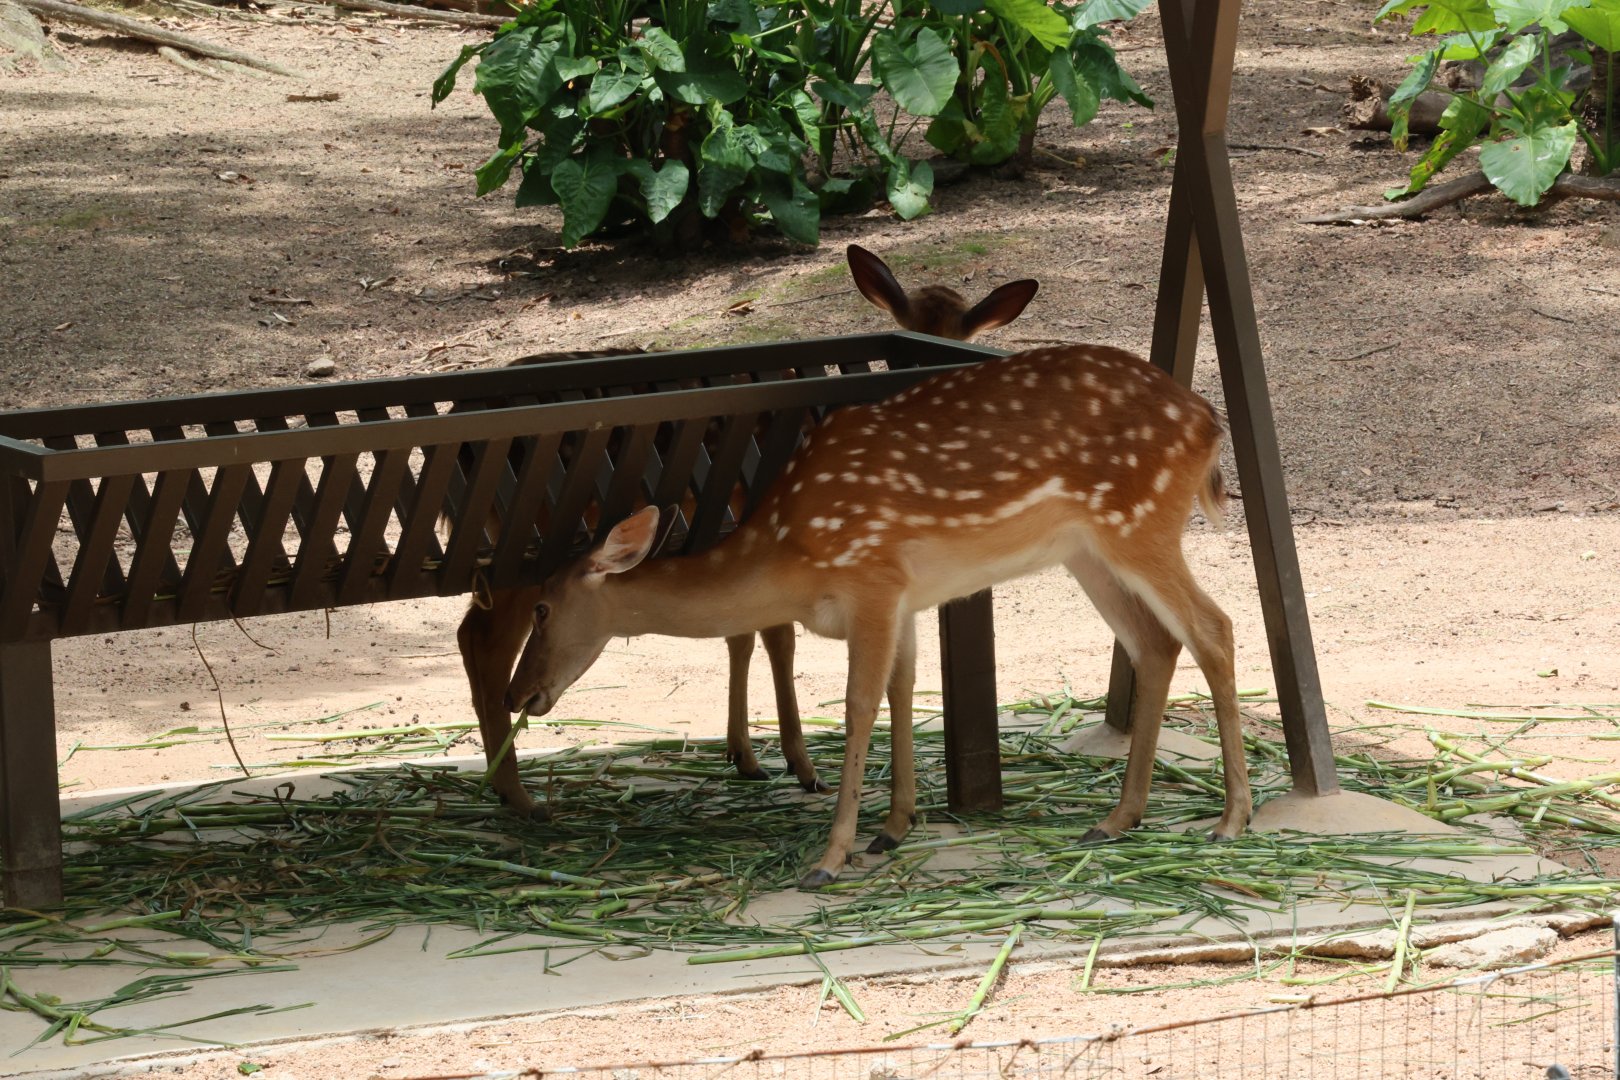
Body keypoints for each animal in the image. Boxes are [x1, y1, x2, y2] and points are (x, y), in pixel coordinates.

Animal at [456, 245, 1039, 816]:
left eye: (961, 336)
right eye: (914, 328)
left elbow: (741, 630)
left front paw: (744, 754)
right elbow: (777, 633)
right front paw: (801, 764)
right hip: (528, 537)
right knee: (482, 639)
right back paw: (516, 794)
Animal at [498, 306, 1246, 890]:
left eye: (541, 605)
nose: (517, 693)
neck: (788, 550)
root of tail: (1209, 426)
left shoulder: (872, 577)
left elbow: (860, 706)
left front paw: (830, 856)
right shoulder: (904, 596)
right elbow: (902, 688)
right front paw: (894, 827)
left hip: (1138, 523)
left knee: (1214, 627)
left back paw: (1231, 818)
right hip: (1085, 550)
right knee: (1156, 642)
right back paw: (1118, 818)